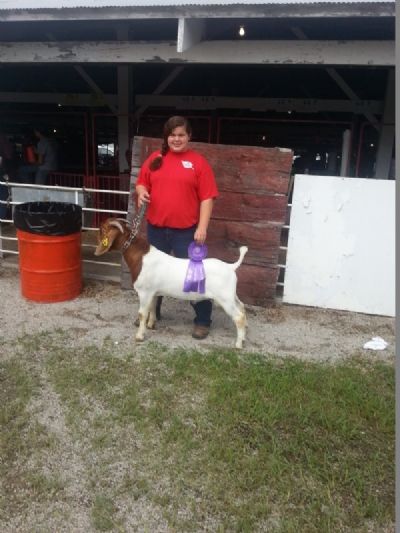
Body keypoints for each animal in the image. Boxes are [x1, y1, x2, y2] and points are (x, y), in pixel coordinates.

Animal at [95, 217, 248, 350]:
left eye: (102, 229)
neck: (141, 257)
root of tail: (231, 267)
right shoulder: (152, 292)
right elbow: (152, 307)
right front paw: (151, 324)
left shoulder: (144, 292)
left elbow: (142, 313)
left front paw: (139, 336)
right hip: (231, 295)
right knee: (242, 307)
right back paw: (244, 338)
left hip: (224, 298)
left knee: (238, 317)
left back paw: (238, 344)